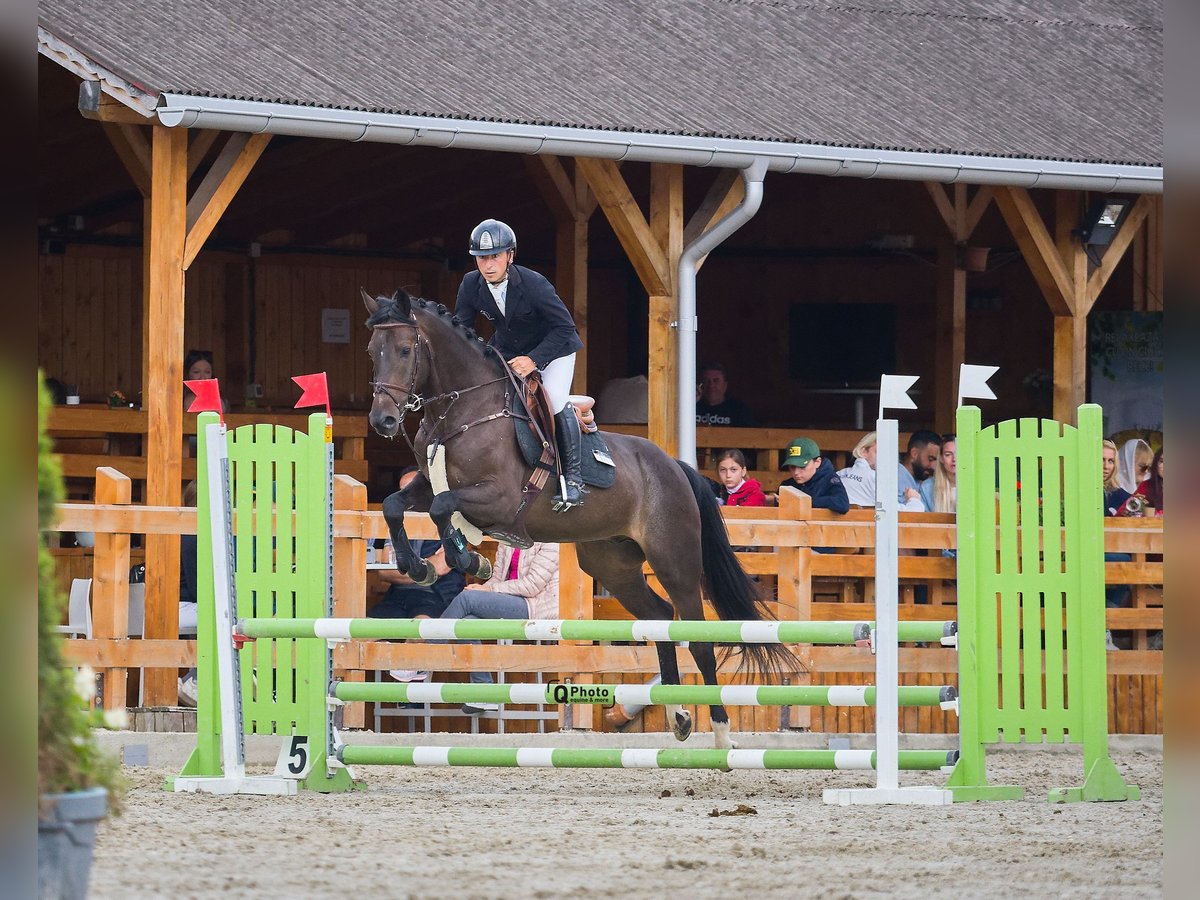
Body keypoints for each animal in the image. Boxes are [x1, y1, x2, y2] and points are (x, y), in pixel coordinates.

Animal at [360, 290, 792, 753]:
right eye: (372, 351)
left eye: (406, 350)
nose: (383, 421)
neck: (465, 410)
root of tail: (675, 466)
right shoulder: (426, 484)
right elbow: (394, 505)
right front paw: (418, 567)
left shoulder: (499, 499)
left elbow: (443, 509)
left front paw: (471, 561)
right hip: (612, 564)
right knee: (659, 616)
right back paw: (678, 716)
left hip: (674, 560)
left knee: (698, 636)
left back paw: (722, 733)